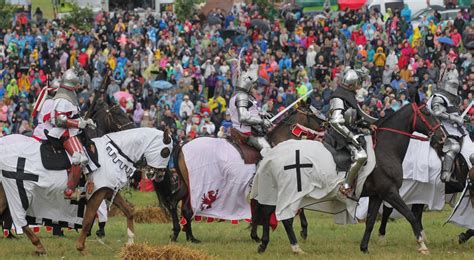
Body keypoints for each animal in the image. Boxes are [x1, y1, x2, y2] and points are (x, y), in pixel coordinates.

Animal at [0, 128, 172, 254]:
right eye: (165, 152)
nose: (160, 175)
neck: (113, 154)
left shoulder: (108, 190)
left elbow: (129, 211)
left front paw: (130, 243)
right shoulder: (97, 193)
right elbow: (88, 219)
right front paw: (81, 247)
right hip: (17, 189)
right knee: (20, 219)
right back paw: (38, 245)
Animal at [152, 106, 326, 243]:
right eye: (314, 113)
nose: (327, 124)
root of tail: (183, 143)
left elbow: (257, 209)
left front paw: (255, 235)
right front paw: (303, 230)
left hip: (185, 184)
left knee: (174, 203)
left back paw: (179, 234)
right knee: (187, 209)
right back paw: (191, 237)